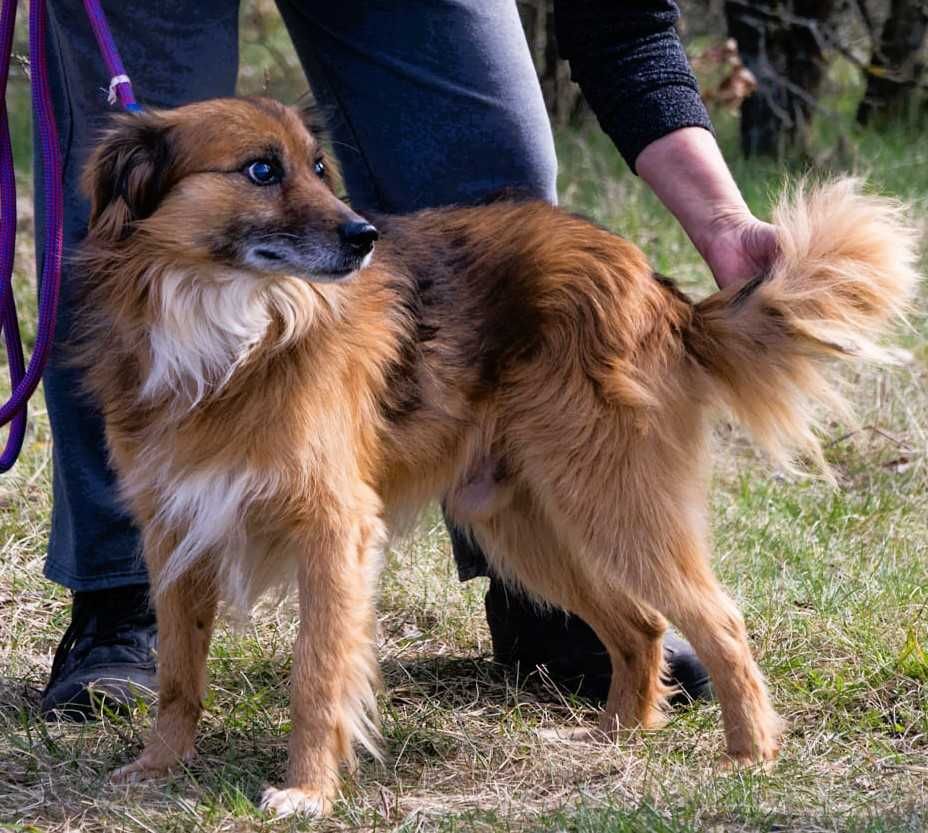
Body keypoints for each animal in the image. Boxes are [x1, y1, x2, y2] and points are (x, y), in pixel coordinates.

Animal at [74, 96, 920, 812]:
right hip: (523, 521)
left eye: (317, 167)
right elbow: (178, 671)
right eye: (260, 169)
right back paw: (613, 734)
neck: (228, 326)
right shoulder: (175, 528)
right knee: (641, 627)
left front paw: (308, 791)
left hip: (609, 503)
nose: (364, 237)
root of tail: (657, 286)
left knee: (720, 620)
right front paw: (158, 764)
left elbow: (317, 675)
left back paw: (749, 754)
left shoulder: (333, 533)